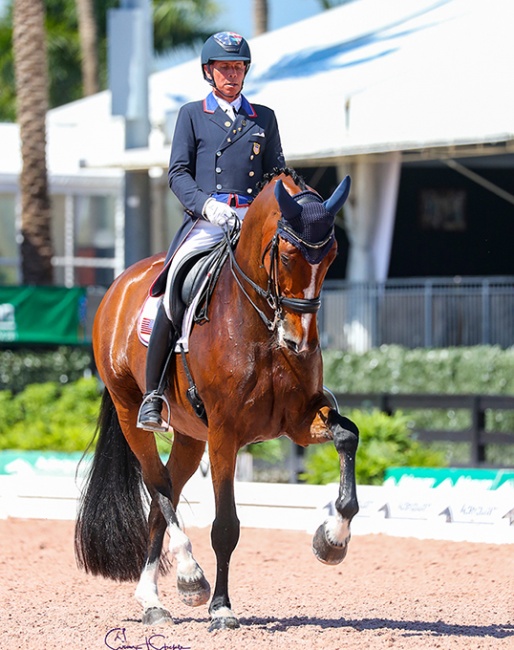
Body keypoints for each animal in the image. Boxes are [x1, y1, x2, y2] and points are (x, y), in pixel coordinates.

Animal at [74, 167, 358, 628]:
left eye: (331, 255)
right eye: (286, 255)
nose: (298, 341)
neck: (261, 324)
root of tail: (118, 287)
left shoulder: (299, 420)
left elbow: (348, 437)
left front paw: (331, 540)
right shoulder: (225, 433)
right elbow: (226, 525)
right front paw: (221, 608)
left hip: (191, 435)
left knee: (163, 498)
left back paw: (153, 599)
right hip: (131, 411)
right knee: (158, 485)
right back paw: (189, 577)